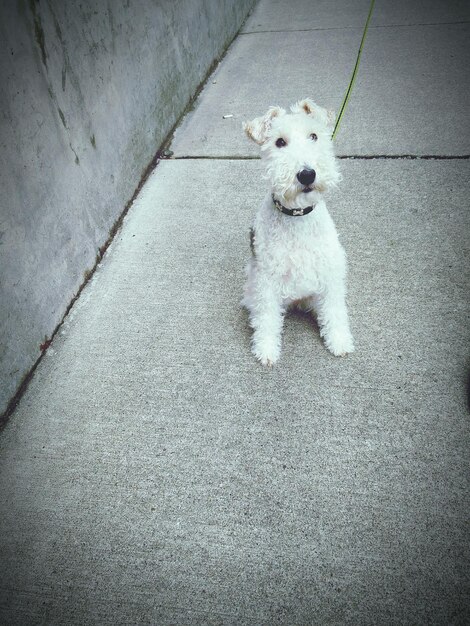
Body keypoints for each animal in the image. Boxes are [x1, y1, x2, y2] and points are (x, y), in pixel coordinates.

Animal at [242, 97, 352, 366]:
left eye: (314, 136)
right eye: (280, 142)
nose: (307, 174)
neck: (298, 217)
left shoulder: (330, 274)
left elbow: (335, 311)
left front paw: (339, 341)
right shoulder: (266, 281)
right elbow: (267, 318)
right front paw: (266, 350)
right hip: (253, 285)